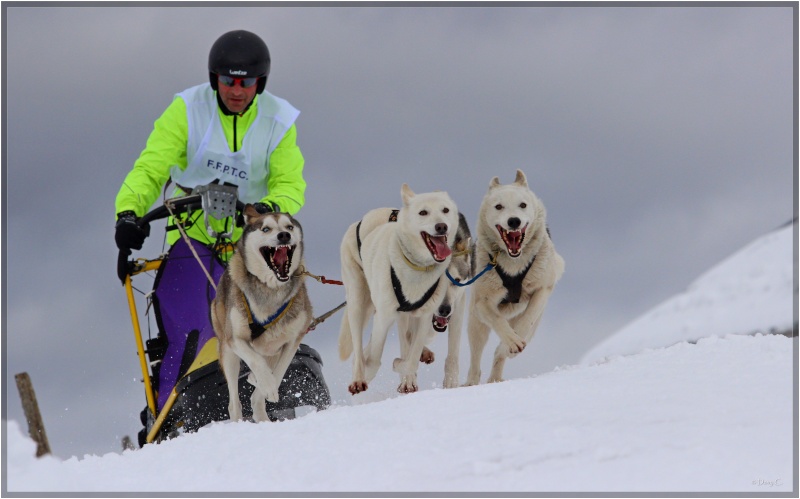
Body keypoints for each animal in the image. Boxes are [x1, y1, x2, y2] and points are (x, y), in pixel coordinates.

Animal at [340, 186, 460, 396]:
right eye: (423, 212)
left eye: (445, 210)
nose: (442, 226)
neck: (417, 268)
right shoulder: (384, 317)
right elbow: (373, 360)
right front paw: (374, 370)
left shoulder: (425, 315)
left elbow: (410, 359)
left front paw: (402, 369)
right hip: (358, 303)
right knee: (358, 347)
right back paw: (358, 378)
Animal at [462, 172, 564, 386]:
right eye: (498, 206)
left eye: (522, 205)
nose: (514, 221)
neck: (513, 262)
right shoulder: (482, 302)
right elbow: (498, 321)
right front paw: (512, 340)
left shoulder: (543, 289)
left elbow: (527, 320)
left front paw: (513, 342)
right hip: (476, 323)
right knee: (476, 359)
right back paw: (473, 382)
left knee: (501, 350)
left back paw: (498, 371)